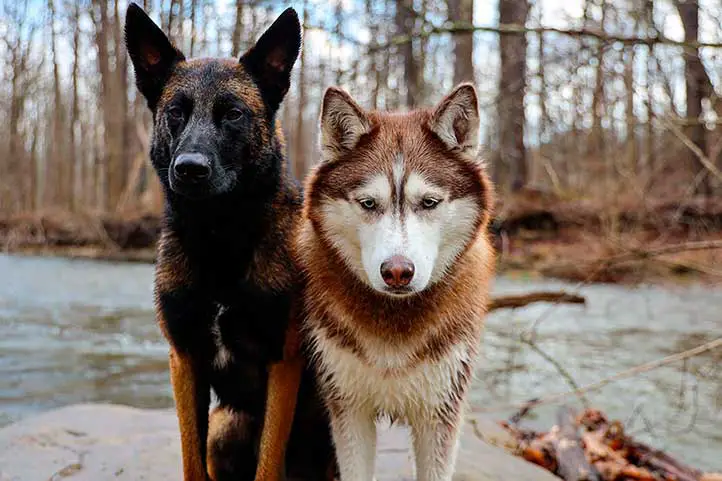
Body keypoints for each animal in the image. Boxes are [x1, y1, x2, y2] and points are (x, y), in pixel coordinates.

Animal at [124, 3, 334, 480]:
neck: (218, 235)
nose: (189, 169)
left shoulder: (282, 361)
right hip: (224, 427)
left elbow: (268, 464)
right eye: (176, 112)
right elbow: (190, 458)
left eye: (234, 114)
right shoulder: (184, 358)